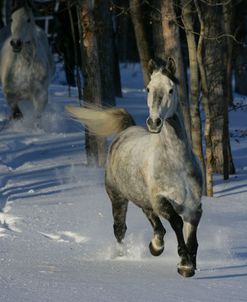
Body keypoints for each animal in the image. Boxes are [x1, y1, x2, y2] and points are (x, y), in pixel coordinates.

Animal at [65, 57, 203, 278]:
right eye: (148, 88)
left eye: (171, 89)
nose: (154, 122)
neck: (176, 164)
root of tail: (126, 131)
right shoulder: (161, 200)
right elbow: (177, 223)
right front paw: (184, 264)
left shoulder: (194, 207)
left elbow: (192, 237)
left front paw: (190, 263)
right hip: (118, 198)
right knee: (120, 228)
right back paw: (125, 255)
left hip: (141, 197)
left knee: (154, 223)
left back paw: (156, 246)